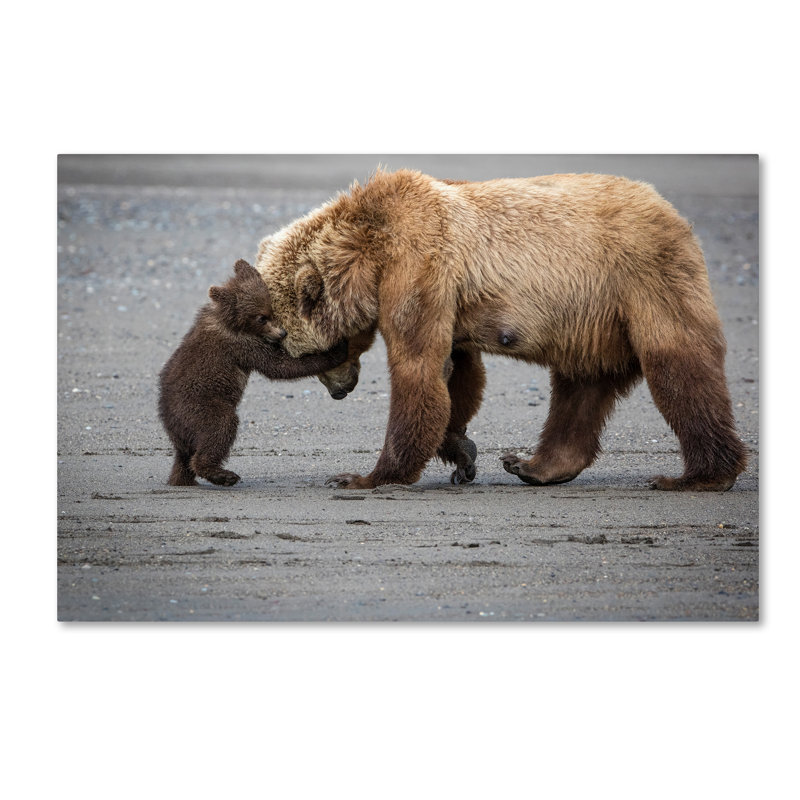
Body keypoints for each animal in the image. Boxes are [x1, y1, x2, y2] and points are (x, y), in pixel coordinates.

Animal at [158, 259, 347, 486]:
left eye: (271, 310)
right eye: (261, 318)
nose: (282, 333)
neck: (231, 321)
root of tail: (170, 424)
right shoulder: (242, 344)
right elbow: (279, 366)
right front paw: (337, 350)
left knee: (184, 459)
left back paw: (183, 479)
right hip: (198, 407)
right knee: (220, 427)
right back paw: (223, 474)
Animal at [255, 169, 747, 492]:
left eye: (310, 354)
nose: (341, 391)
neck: (369, 251)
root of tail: (672, 212)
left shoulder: (418, 265)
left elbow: (418, 368)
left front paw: (364, 476)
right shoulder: (447, 295)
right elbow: (457, 374)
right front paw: (462, 453)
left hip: (642, 278)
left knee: (678, 365)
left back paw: (699, 476)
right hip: (591, 320)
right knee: (580, 387)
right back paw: (534, 465)